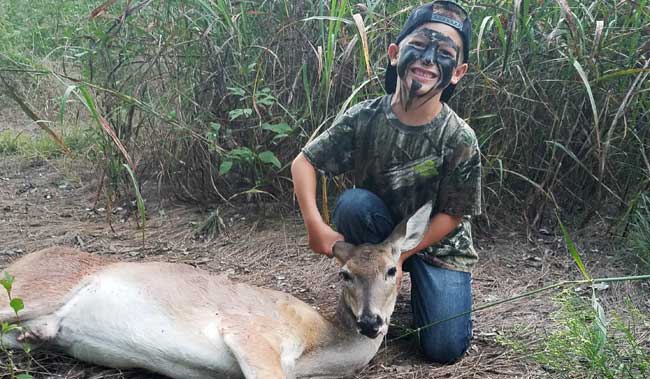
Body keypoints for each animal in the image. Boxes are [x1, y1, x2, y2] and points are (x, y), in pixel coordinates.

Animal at [1, 203, 430, 379]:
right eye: (344, 274)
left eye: (393, 270)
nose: (371, 322)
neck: (315, 348)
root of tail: (21, 261)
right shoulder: (251, 333)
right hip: (31, 289)